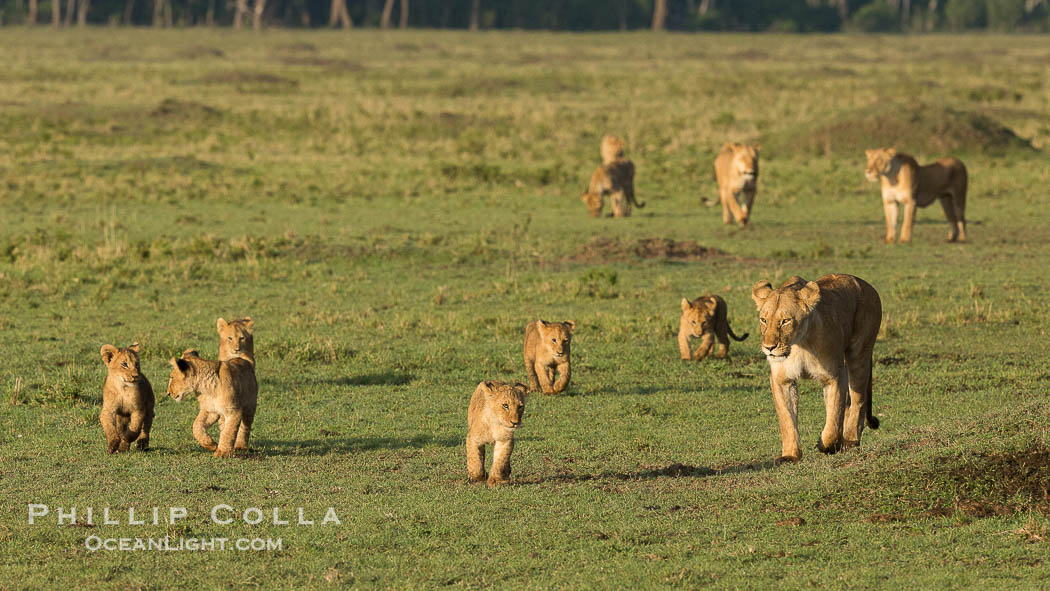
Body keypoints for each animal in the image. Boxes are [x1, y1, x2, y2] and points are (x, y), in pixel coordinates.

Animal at [751, 274, 882, 464]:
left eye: (785, 321)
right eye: (764, 320)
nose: (769, 348)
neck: (799, 344)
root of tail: (864, 283)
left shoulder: (834, 376)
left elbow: (833, 418)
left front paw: (826, 446)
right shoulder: (782, 380)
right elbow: (787, 419)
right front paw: (790, 455)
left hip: (859, 352)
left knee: (859, 398)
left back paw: (850, 440)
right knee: (849, 402)